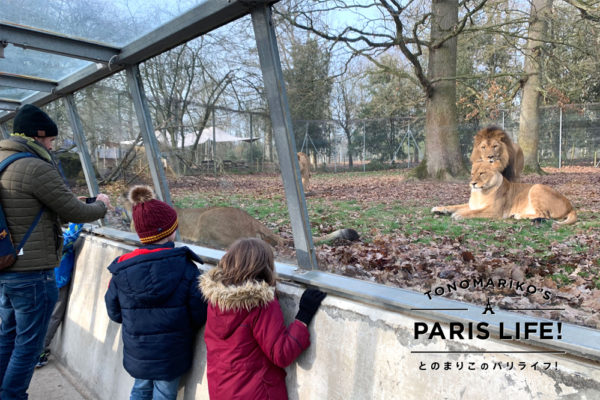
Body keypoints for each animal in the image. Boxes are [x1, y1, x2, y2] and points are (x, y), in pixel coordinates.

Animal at [432, 162, 576, 225]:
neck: (480, 193)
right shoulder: (473, 204)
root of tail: (571, 206)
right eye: (472, 173)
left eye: (482, 173)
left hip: (536, 187)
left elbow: (473, 212)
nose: (472, 183)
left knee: (544, 215)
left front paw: (459, 214)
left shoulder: (495, 211)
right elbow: (455, 205)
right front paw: (439, 209)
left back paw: (518, 215)